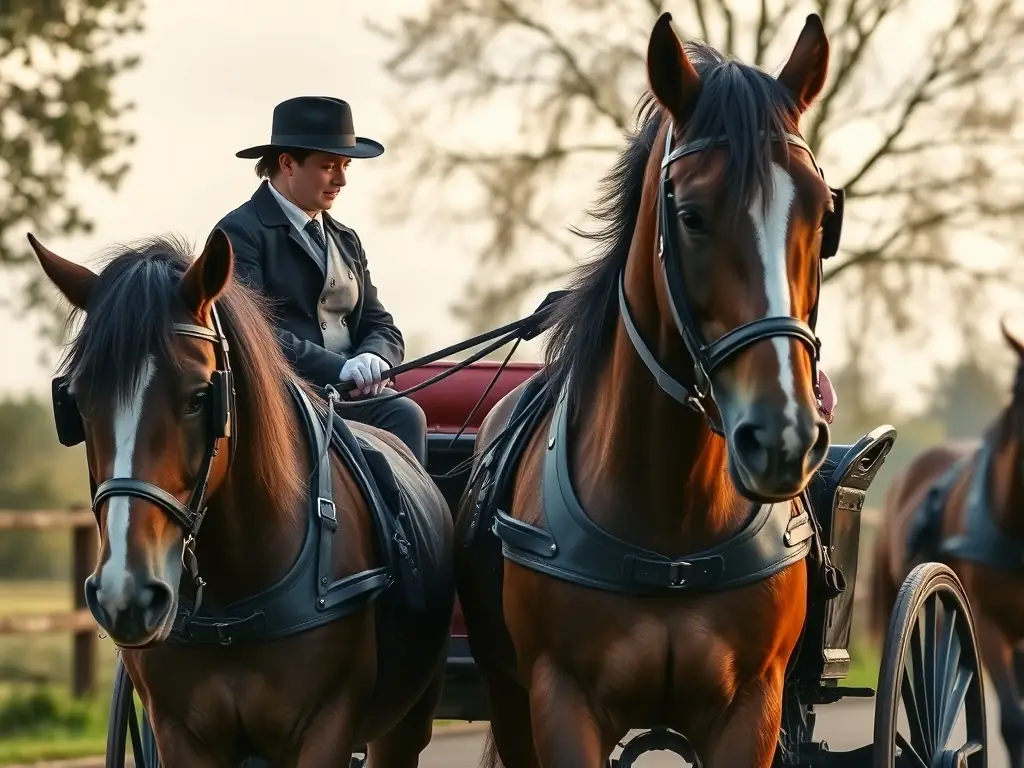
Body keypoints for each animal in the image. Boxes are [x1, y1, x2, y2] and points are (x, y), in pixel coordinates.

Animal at [28, 228, 455, 767]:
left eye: (198, 398)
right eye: (78, 403)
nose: (126, 593)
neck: (235, 597)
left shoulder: (326, 729)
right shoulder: (180, 735)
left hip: (407, 721)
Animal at [454, 12, 843, 768]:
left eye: (822, 215)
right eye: (691, 215)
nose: (781, 436)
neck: (672, 539)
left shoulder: (754, 707)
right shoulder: (559, 700)